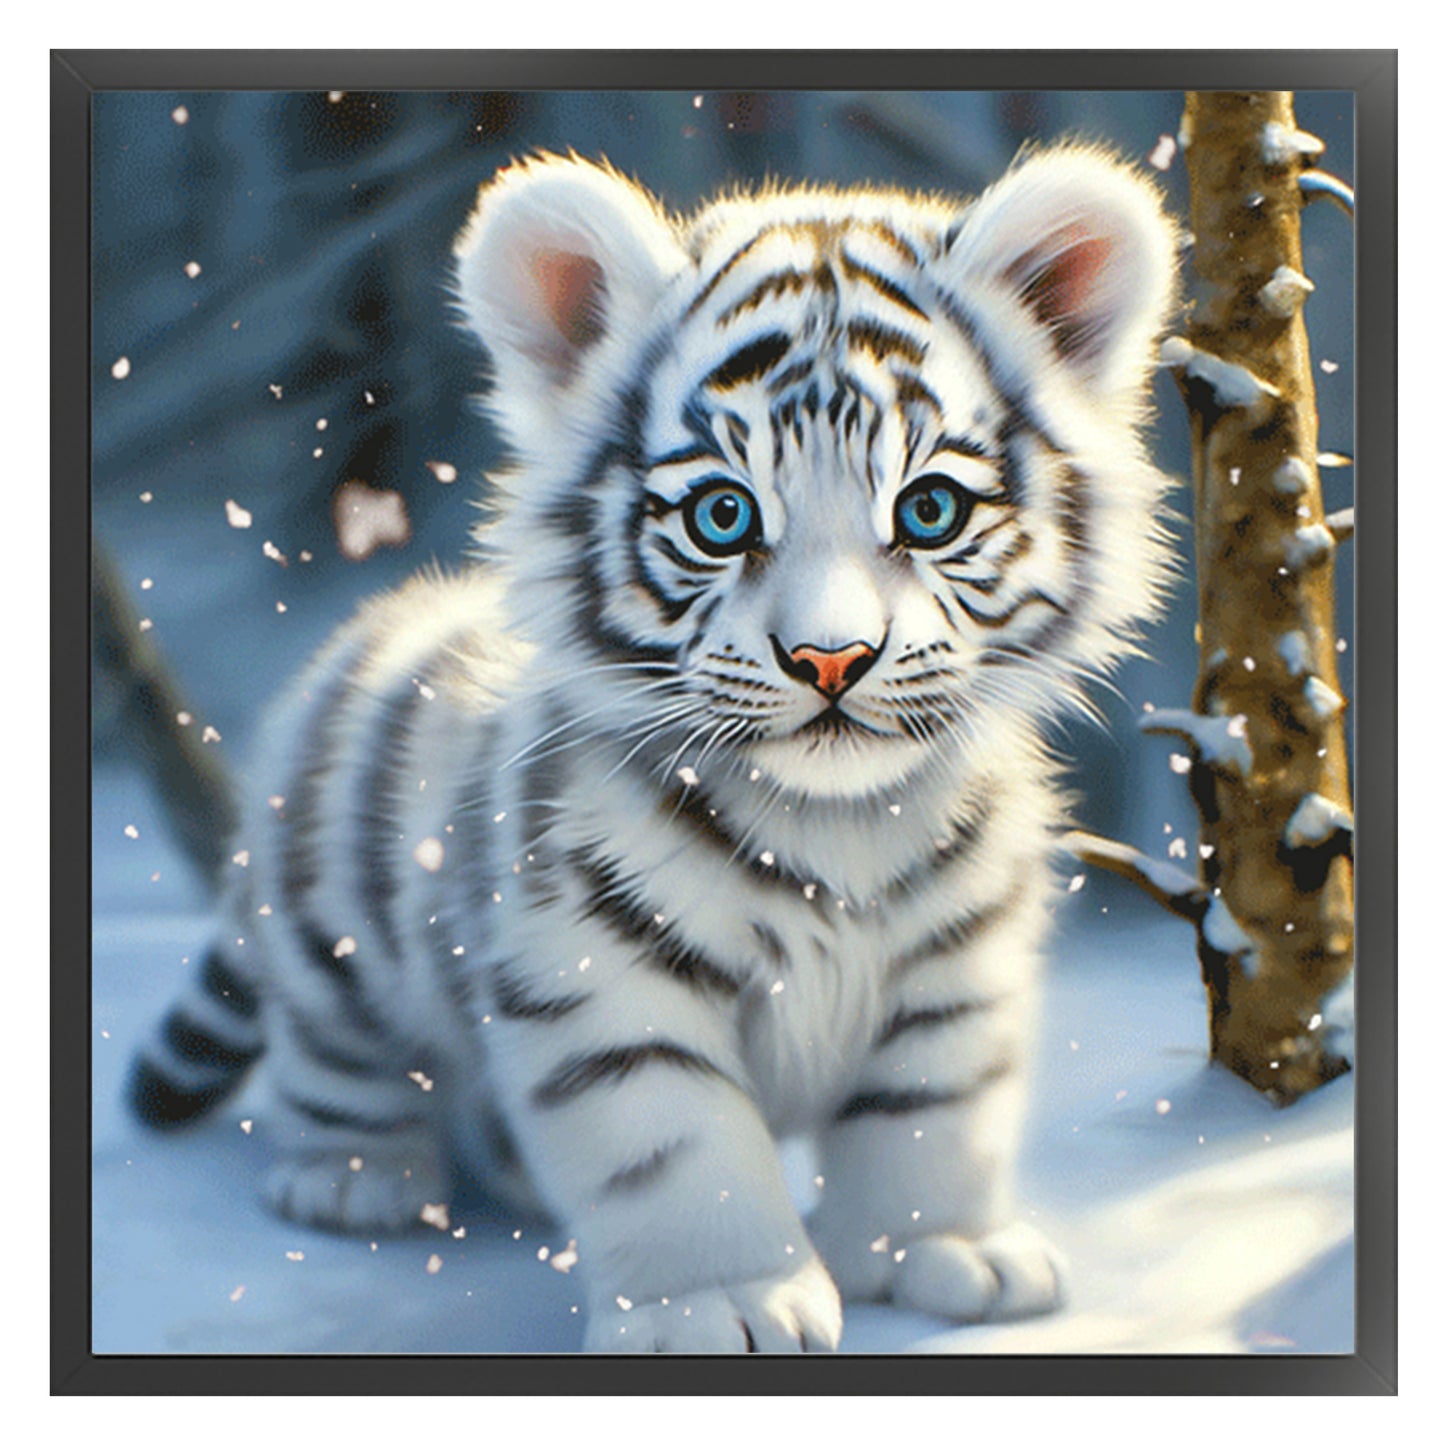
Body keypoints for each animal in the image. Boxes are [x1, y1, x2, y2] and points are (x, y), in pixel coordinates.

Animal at [127, 145, 1178, 1353]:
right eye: (723, 515)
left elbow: (929, 1112)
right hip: (332, 947)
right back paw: (353, 1180)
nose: (830, 658)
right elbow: (677, 1148)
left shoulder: (956, 970)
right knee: (332, 1058)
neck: (837, 824)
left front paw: (941, 1253)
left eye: (927, 511)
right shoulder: (598, 977)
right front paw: (724, 1302)